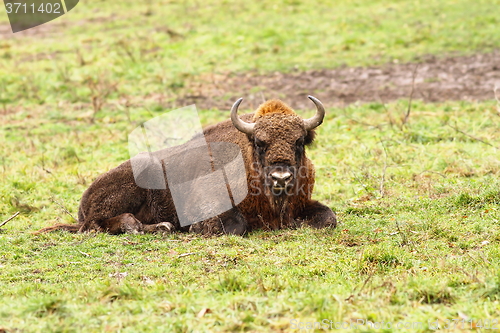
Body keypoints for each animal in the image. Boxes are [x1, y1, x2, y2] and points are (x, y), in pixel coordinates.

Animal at [39, 96, 336, 235]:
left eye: (299, 141)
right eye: (259, 142)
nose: (281, 177)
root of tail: (84, 199)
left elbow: (329, 217)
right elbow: (235, 224)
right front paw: (195, 229)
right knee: (98, 225)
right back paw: (151, 227)